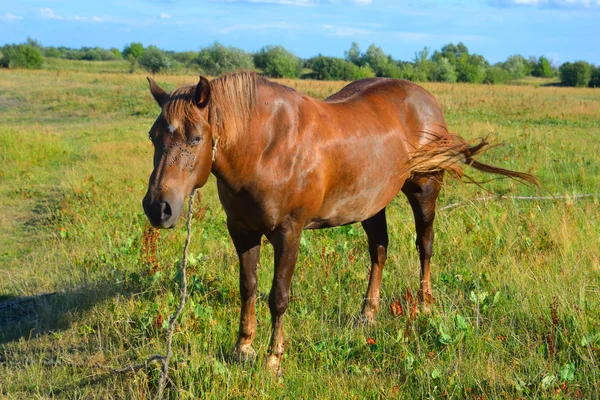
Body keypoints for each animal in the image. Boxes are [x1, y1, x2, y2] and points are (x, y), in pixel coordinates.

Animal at [143, 72, 536, 376]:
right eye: (153, 136)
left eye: (195, 137)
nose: (158, 207)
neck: (266, 147)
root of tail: (427, 101)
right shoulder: (242, 231)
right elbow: (248, 288)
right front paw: (244, 349)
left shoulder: (288, 233)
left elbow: (278, 297)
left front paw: (273, 360)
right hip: (371, 204)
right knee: (379, 251)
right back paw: (367, 314)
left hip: (424, 190)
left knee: (424, 245)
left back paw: (425, 305)